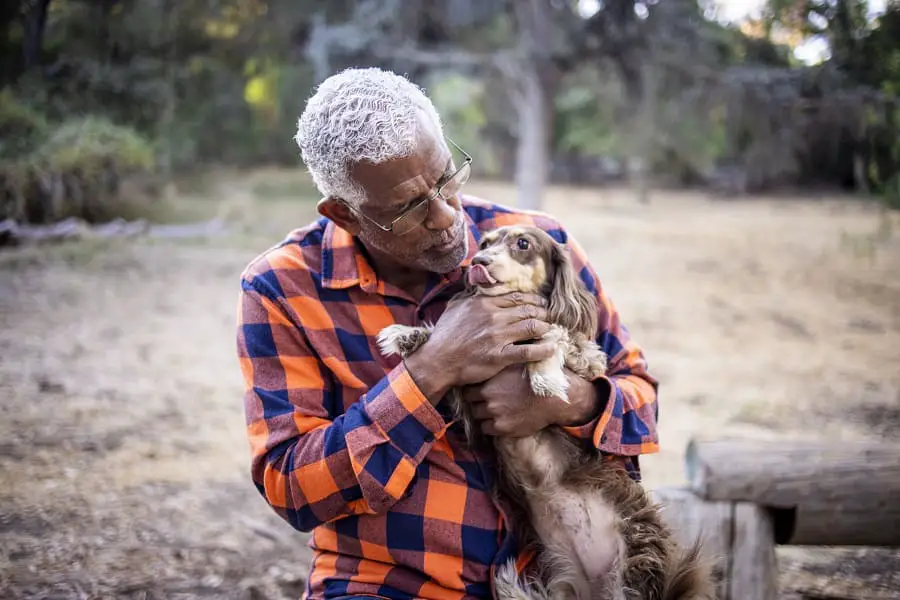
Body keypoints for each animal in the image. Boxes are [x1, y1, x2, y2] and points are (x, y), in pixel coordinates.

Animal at [376, 226, 712, 600]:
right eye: (485, 243)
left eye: (523, 244)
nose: (478, 262)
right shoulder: (467, 392)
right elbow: (443, 346)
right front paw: (407, 336)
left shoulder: (586, 358)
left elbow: (553, 335)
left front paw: (545, 380)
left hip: (637, 555)